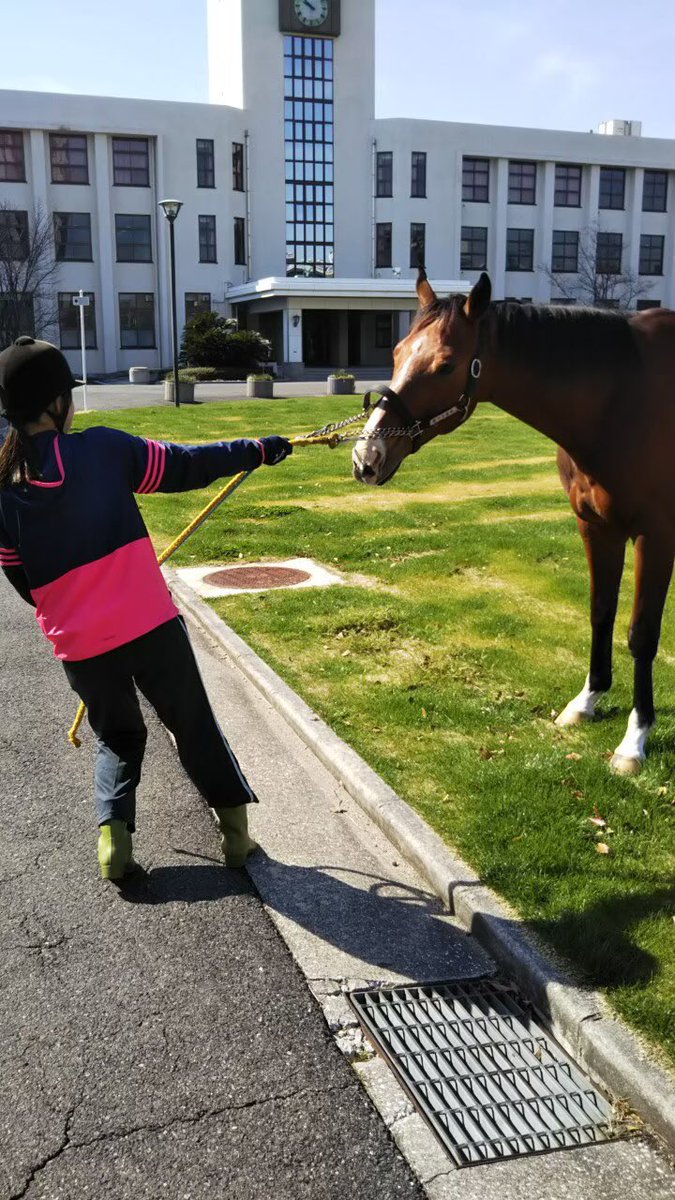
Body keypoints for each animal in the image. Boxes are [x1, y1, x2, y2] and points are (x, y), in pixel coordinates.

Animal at [352, 269, 675, 776]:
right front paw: (587, 700)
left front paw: (634, 739)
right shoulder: (595, 527)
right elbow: (600, 611)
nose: (367, 457)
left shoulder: (655, 536)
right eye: (397, 352)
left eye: (446, 365)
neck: (623, 398)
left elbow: (641, 634)